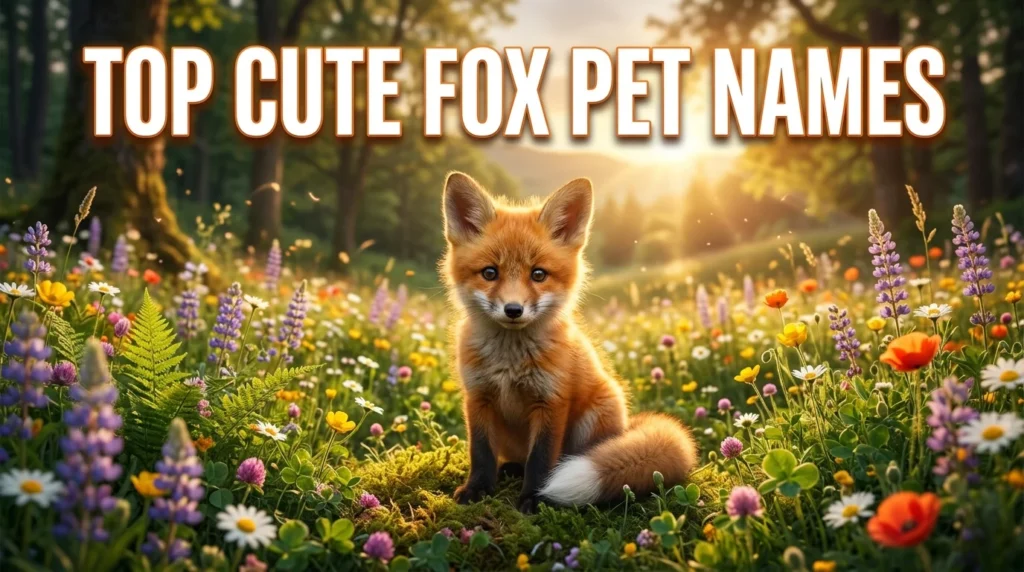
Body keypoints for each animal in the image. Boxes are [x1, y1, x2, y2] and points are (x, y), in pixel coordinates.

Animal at [441, 171, 698, 513]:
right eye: (489, 273)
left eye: (538, 274)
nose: (513, 310)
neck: (509, 363)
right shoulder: (478, 397)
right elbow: (481, 453)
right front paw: (477, 489)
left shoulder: (551, 401)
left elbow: (541, 459)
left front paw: (534, 498)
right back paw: (509, 469)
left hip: (594, 416)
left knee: (571, 457)